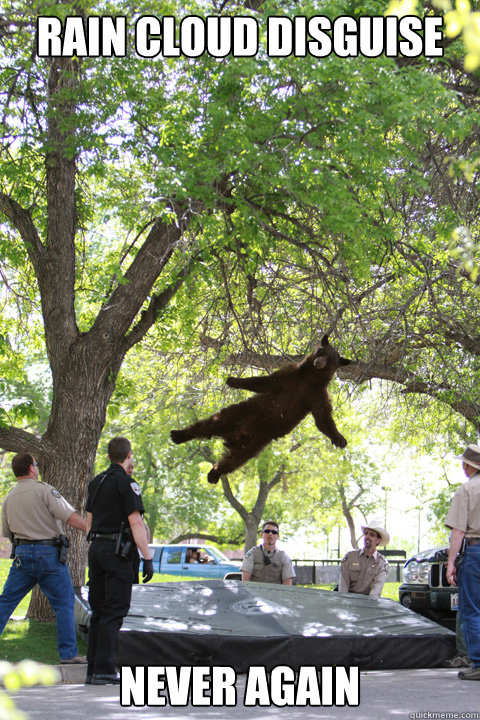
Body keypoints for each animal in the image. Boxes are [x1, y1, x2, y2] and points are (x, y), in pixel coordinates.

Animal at [171, 336, 350, 484]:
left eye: (331, 360)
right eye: (321, 351)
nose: (319, 362)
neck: (309, 378)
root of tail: (234, 436)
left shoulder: (317, 395)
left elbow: (323, 418)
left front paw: (340, 439)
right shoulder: (289, 376)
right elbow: (263, 382)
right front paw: (233, 380)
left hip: (254, 445)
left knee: (233, 461)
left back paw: (213, 474)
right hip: (238, 413)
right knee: (208, 424)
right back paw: (179, 435)